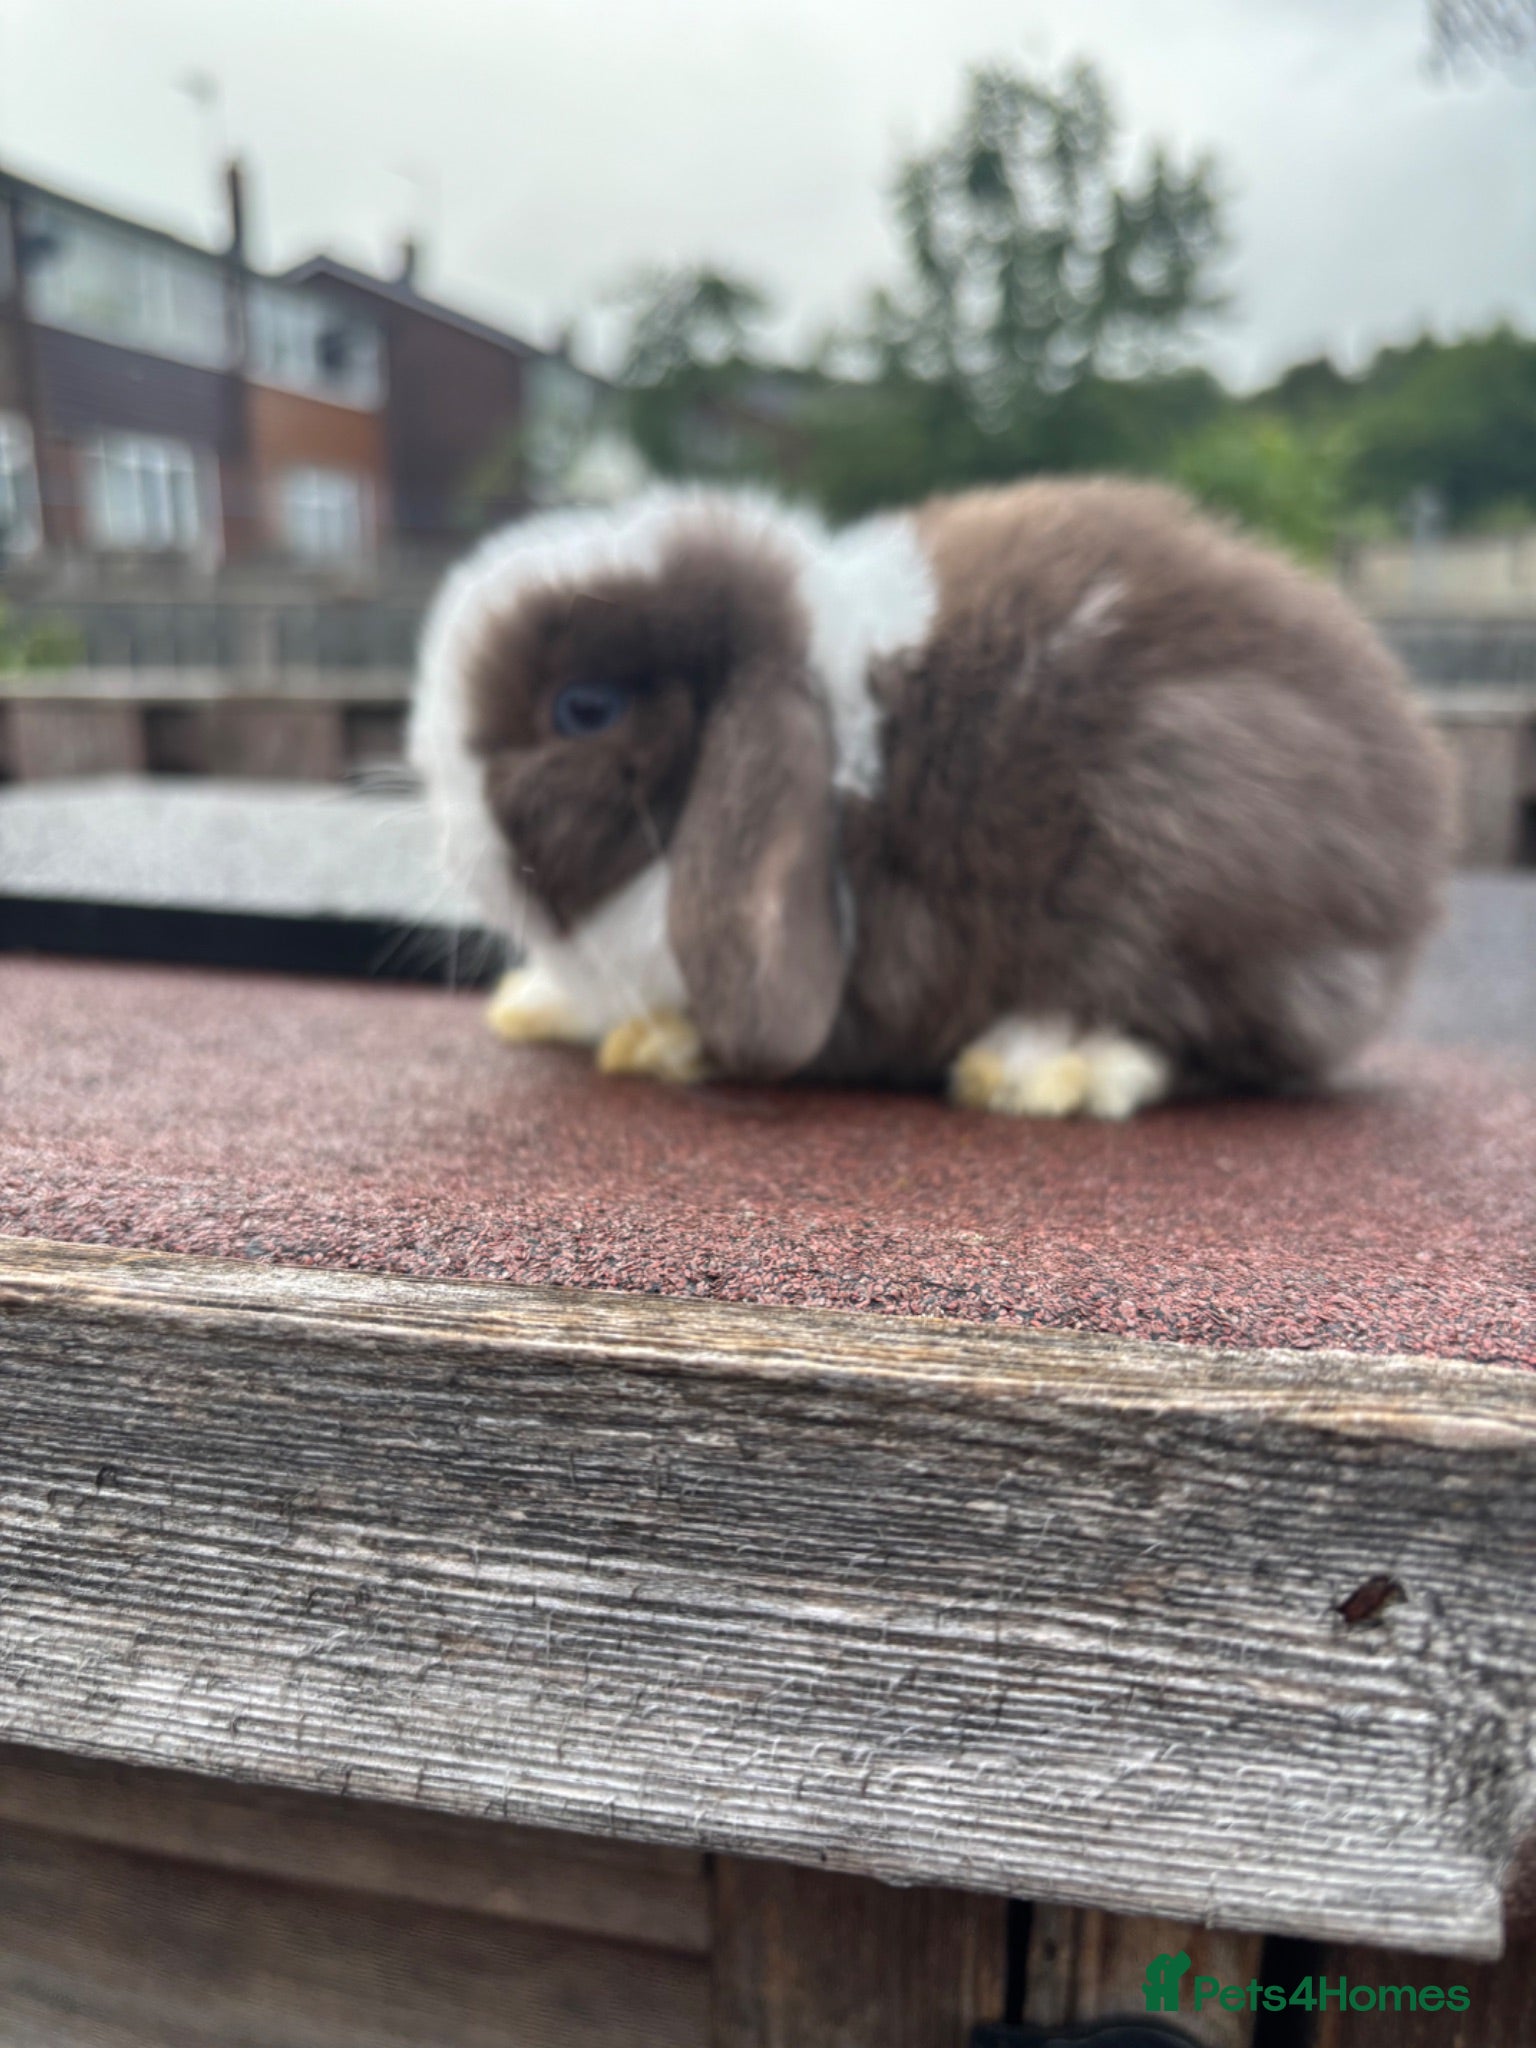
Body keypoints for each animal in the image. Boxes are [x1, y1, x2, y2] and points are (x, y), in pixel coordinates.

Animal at [410, 477, 1454, 1118]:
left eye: (583, 709)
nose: (442, 814)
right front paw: (536, 1006)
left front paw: (664, 1045)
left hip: (1179, 854)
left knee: (1188, 1035)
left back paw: (1037, 1069)